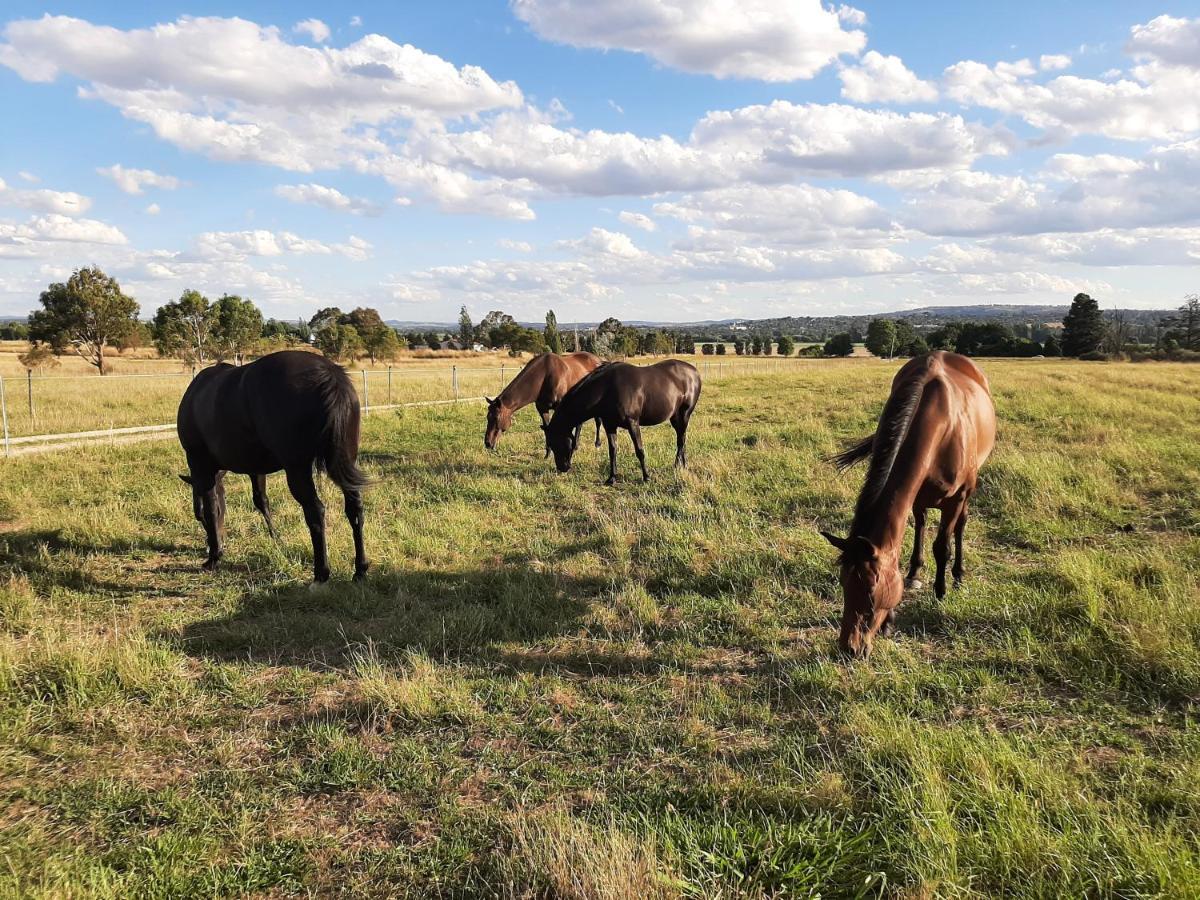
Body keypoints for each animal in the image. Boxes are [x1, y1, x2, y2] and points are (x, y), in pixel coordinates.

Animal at [175, 348, 367, 588]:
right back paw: (360, 570)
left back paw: (321, 574)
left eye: (198, 518)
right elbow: (260, 501)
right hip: (344, 463)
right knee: (355, 510)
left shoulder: (201, 466)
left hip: (297, 470)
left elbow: (211, 508)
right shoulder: (255, 469)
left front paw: (214, 556)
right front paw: (275, 538)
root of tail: (330, 373)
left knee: (315, 511)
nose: (215, 545)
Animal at [547, 360, 700, 487]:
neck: (607, 389)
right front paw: (611, 478)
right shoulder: (609, 425)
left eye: (556, 443)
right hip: (675, 417)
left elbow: (639, 450)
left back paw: (677, 465)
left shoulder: (633, 423)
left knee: (681, 440)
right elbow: (612, 451)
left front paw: (646, 477)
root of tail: (694, 372)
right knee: (681, 438)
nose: (562, 468)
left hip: (684, 414)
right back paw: (682, 465)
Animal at [820, 350, 998, 657]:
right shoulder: (913, 495)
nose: (849, 648)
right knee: (922, 524)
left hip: (966, 493)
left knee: (960, 526)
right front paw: (893, 613)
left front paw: (940, 592)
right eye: (842, 583)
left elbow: (942, 546)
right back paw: (916, 571)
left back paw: (958, 575)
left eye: (871, 591)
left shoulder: (957, 498)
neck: (943, 428)